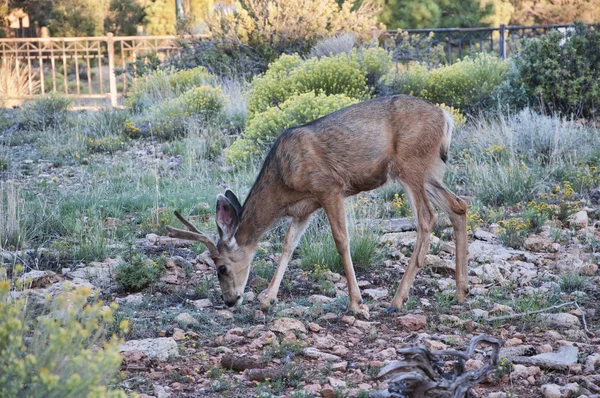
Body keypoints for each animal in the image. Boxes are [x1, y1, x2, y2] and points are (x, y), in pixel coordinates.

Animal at [166, 95, 472, 316]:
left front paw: (356, 304)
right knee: (458, 206)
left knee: (428, 218)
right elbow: (289, 245)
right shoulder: (305, 208)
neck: (283, 180)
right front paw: (267, 299)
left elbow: (341, 241)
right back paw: (460, 292)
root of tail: (445, 117)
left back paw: (397, 299)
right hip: (428, 171)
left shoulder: (329, 187)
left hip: (410, 165)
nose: (229, 300)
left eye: (221, 268)